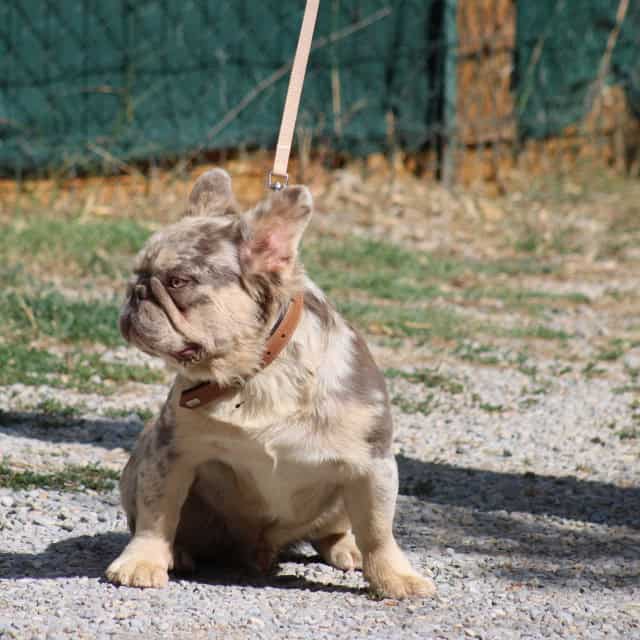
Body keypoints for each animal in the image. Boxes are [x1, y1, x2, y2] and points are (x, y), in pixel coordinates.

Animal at [106, 170, 436, 600]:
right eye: (136, 275)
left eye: (177, 281)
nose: (137, 291)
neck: (256, 372)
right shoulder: (169, 453)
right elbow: (155, 514)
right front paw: (141, 561)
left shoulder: (372, 465)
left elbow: (379, 530)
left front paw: (394, 577)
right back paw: (179, 552)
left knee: (337, 529)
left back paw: (345, 548)